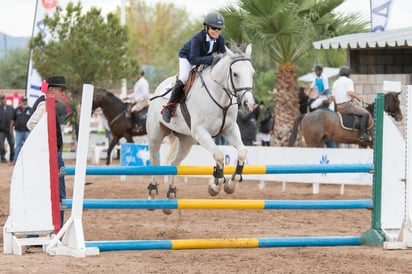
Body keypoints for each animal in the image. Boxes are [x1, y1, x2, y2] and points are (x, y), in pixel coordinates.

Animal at [146, 45, 256, 213]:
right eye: (235, 74)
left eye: (252, 73)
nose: (249, 104)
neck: (220, 96)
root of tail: (158, 88)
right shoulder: (201, 133)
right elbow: (219, 154)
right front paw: (216, 185)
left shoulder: (229, 129)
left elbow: (242, 152)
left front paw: (230, 185)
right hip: (155, 135)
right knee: (154, 162)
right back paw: (152, 195)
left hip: (187, 141)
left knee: (174, 164)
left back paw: (171, 197)